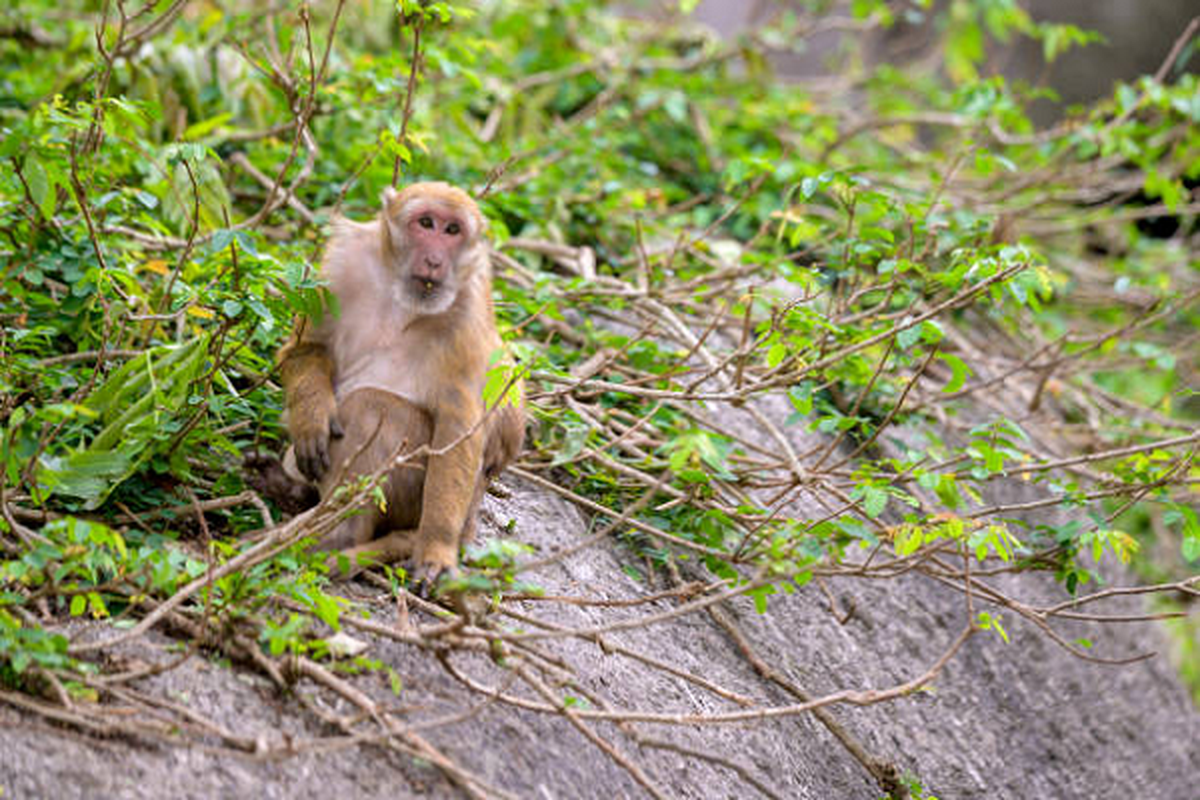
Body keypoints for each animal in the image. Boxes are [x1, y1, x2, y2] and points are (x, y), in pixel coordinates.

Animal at [283, 181, 528, 587]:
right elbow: (306, 348)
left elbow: (459, 429)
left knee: (372, 405)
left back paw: (338, 536)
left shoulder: (467, 316)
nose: (434, 260)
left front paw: (436, 550)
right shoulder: (342, 263)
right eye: (426, 223)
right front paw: (310, 418)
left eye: (452, 230)